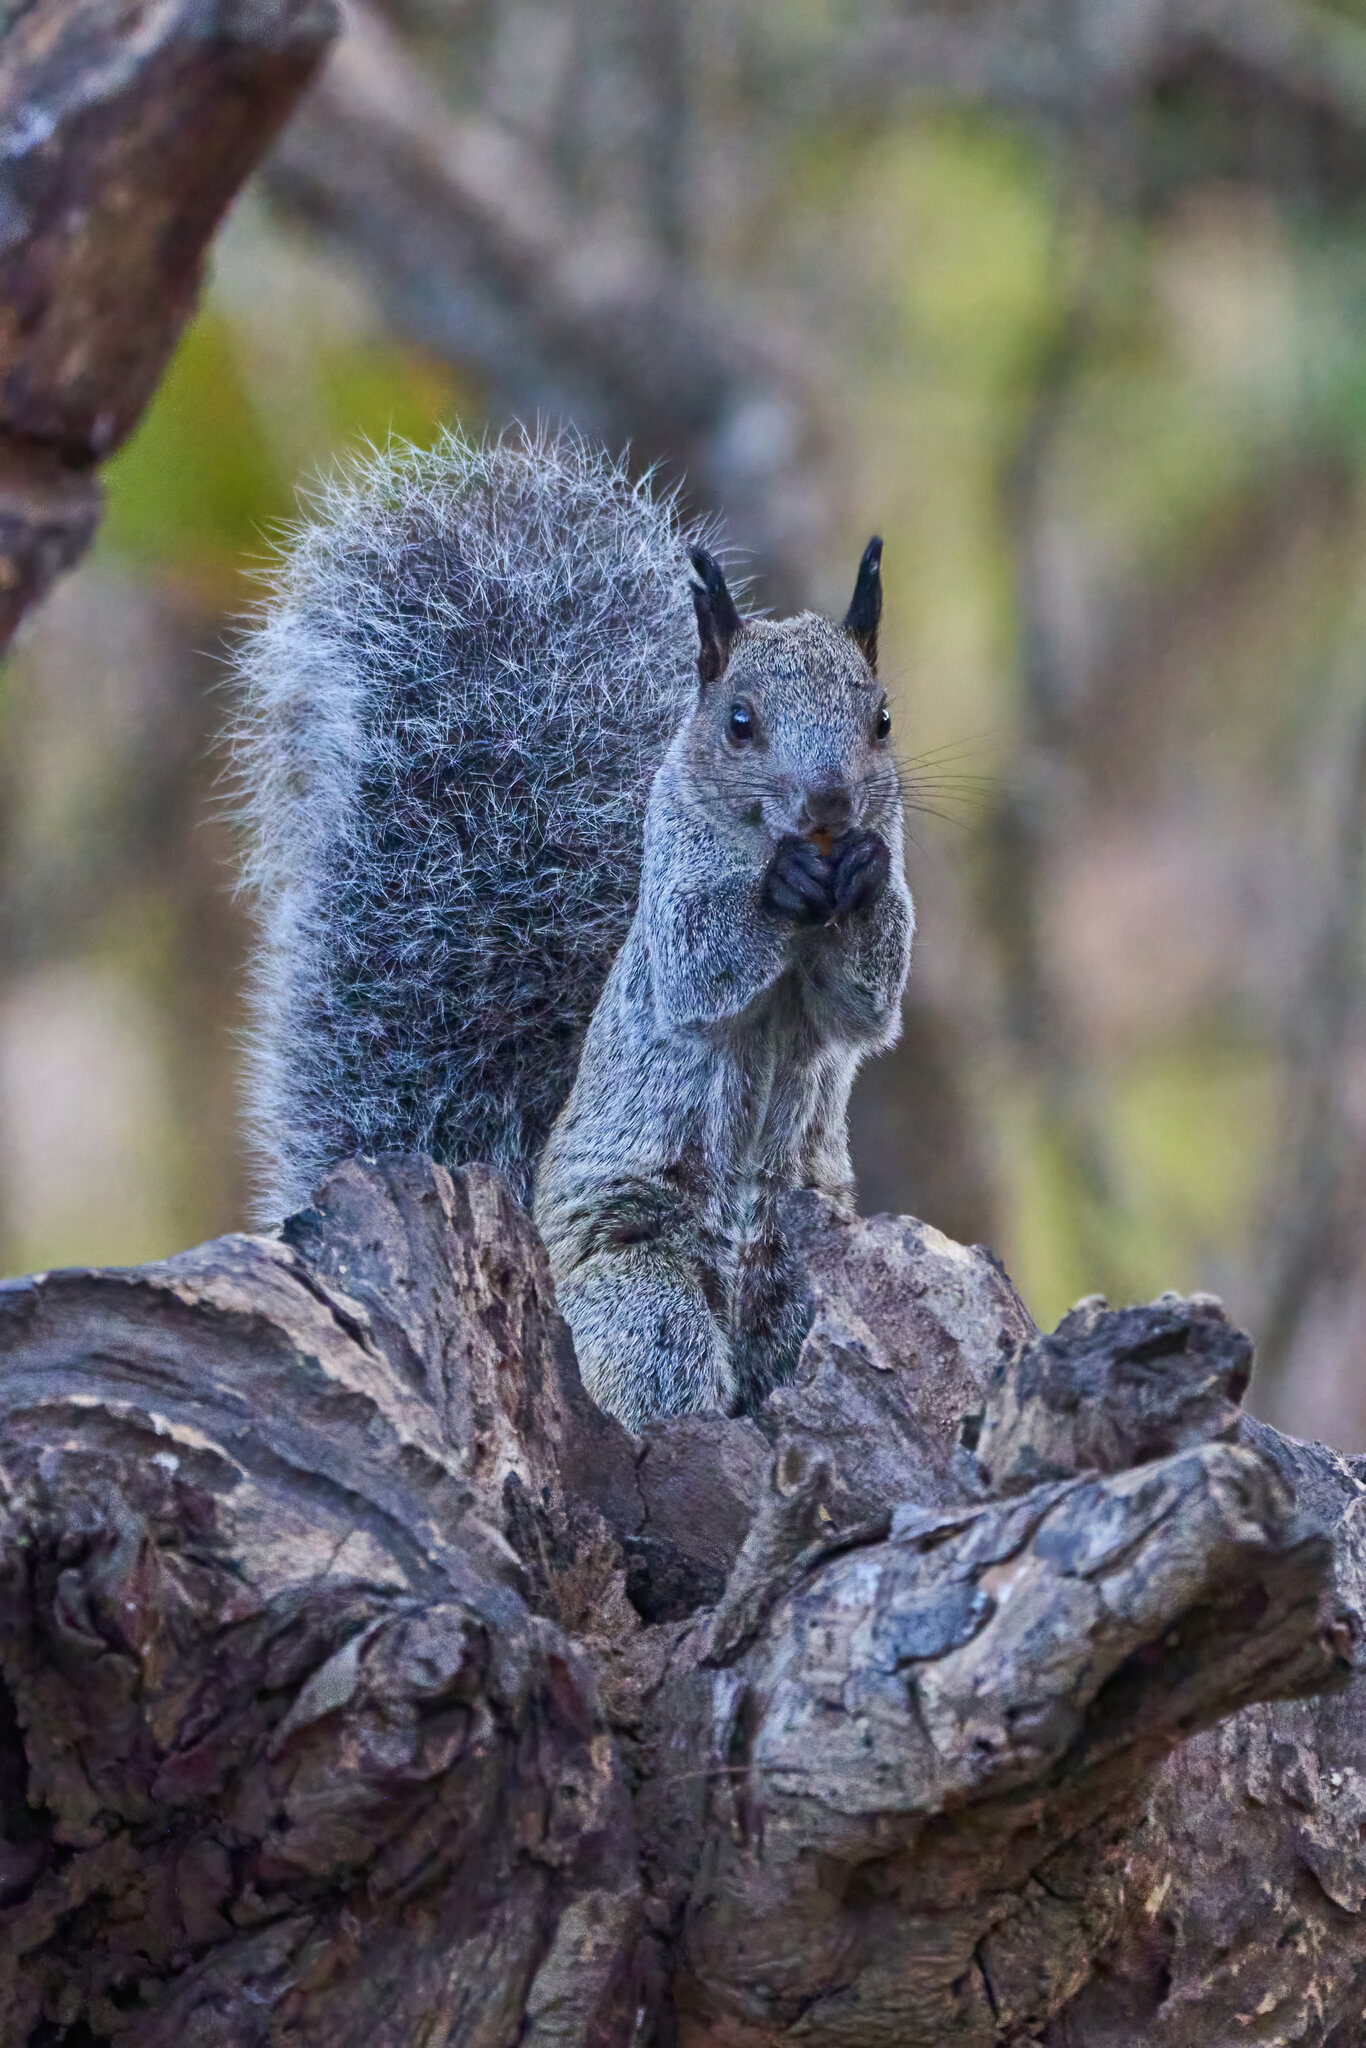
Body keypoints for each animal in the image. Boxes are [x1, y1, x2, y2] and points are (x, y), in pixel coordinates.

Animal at [232, 425, 917, 1433]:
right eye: (738, 721)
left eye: (883, 718)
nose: (829, 805)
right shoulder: (669, 905)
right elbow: (699, 965)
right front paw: (779, 884)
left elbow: (865, 1004)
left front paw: (863, 874)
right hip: (640, 1290)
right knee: (658, 1368)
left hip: (801, 1276)